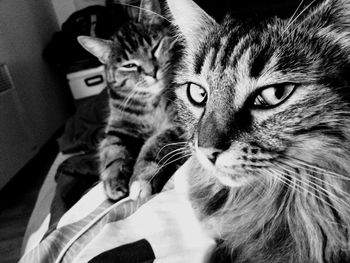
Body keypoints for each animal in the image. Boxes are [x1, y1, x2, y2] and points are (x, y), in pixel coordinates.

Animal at [77, 0, 185, 200]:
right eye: (129, 65)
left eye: (155, 47)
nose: (152, 72)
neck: (151, 103)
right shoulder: (119, 129)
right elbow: (112, 152)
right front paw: (113, 182)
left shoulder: (176, 122)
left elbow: (153, 144)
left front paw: (140, 180)